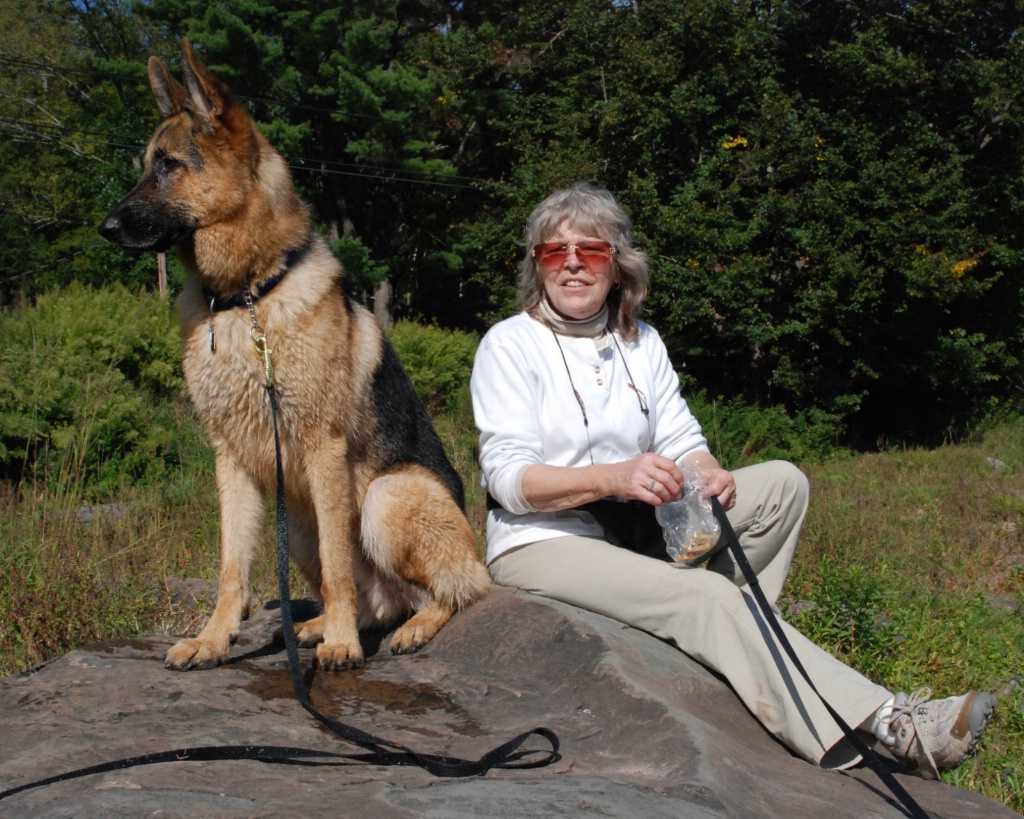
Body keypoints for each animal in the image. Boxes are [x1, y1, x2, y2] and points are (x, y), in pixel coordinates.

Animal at [97, 39, 489, 671]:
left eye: (169, 165)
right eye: (144, 166)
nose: (104, 227)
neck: (245, 298)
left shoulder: (323, 451)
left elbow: (337, 568)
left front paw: (342, 646)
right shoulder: (230, 459)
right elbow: (233, 566)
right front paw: (214, 639)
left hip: (383, 497)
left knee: (456, 590)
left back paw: (404, 628)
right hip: (298, 522)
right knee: (378, 600)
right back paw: (323, 625)